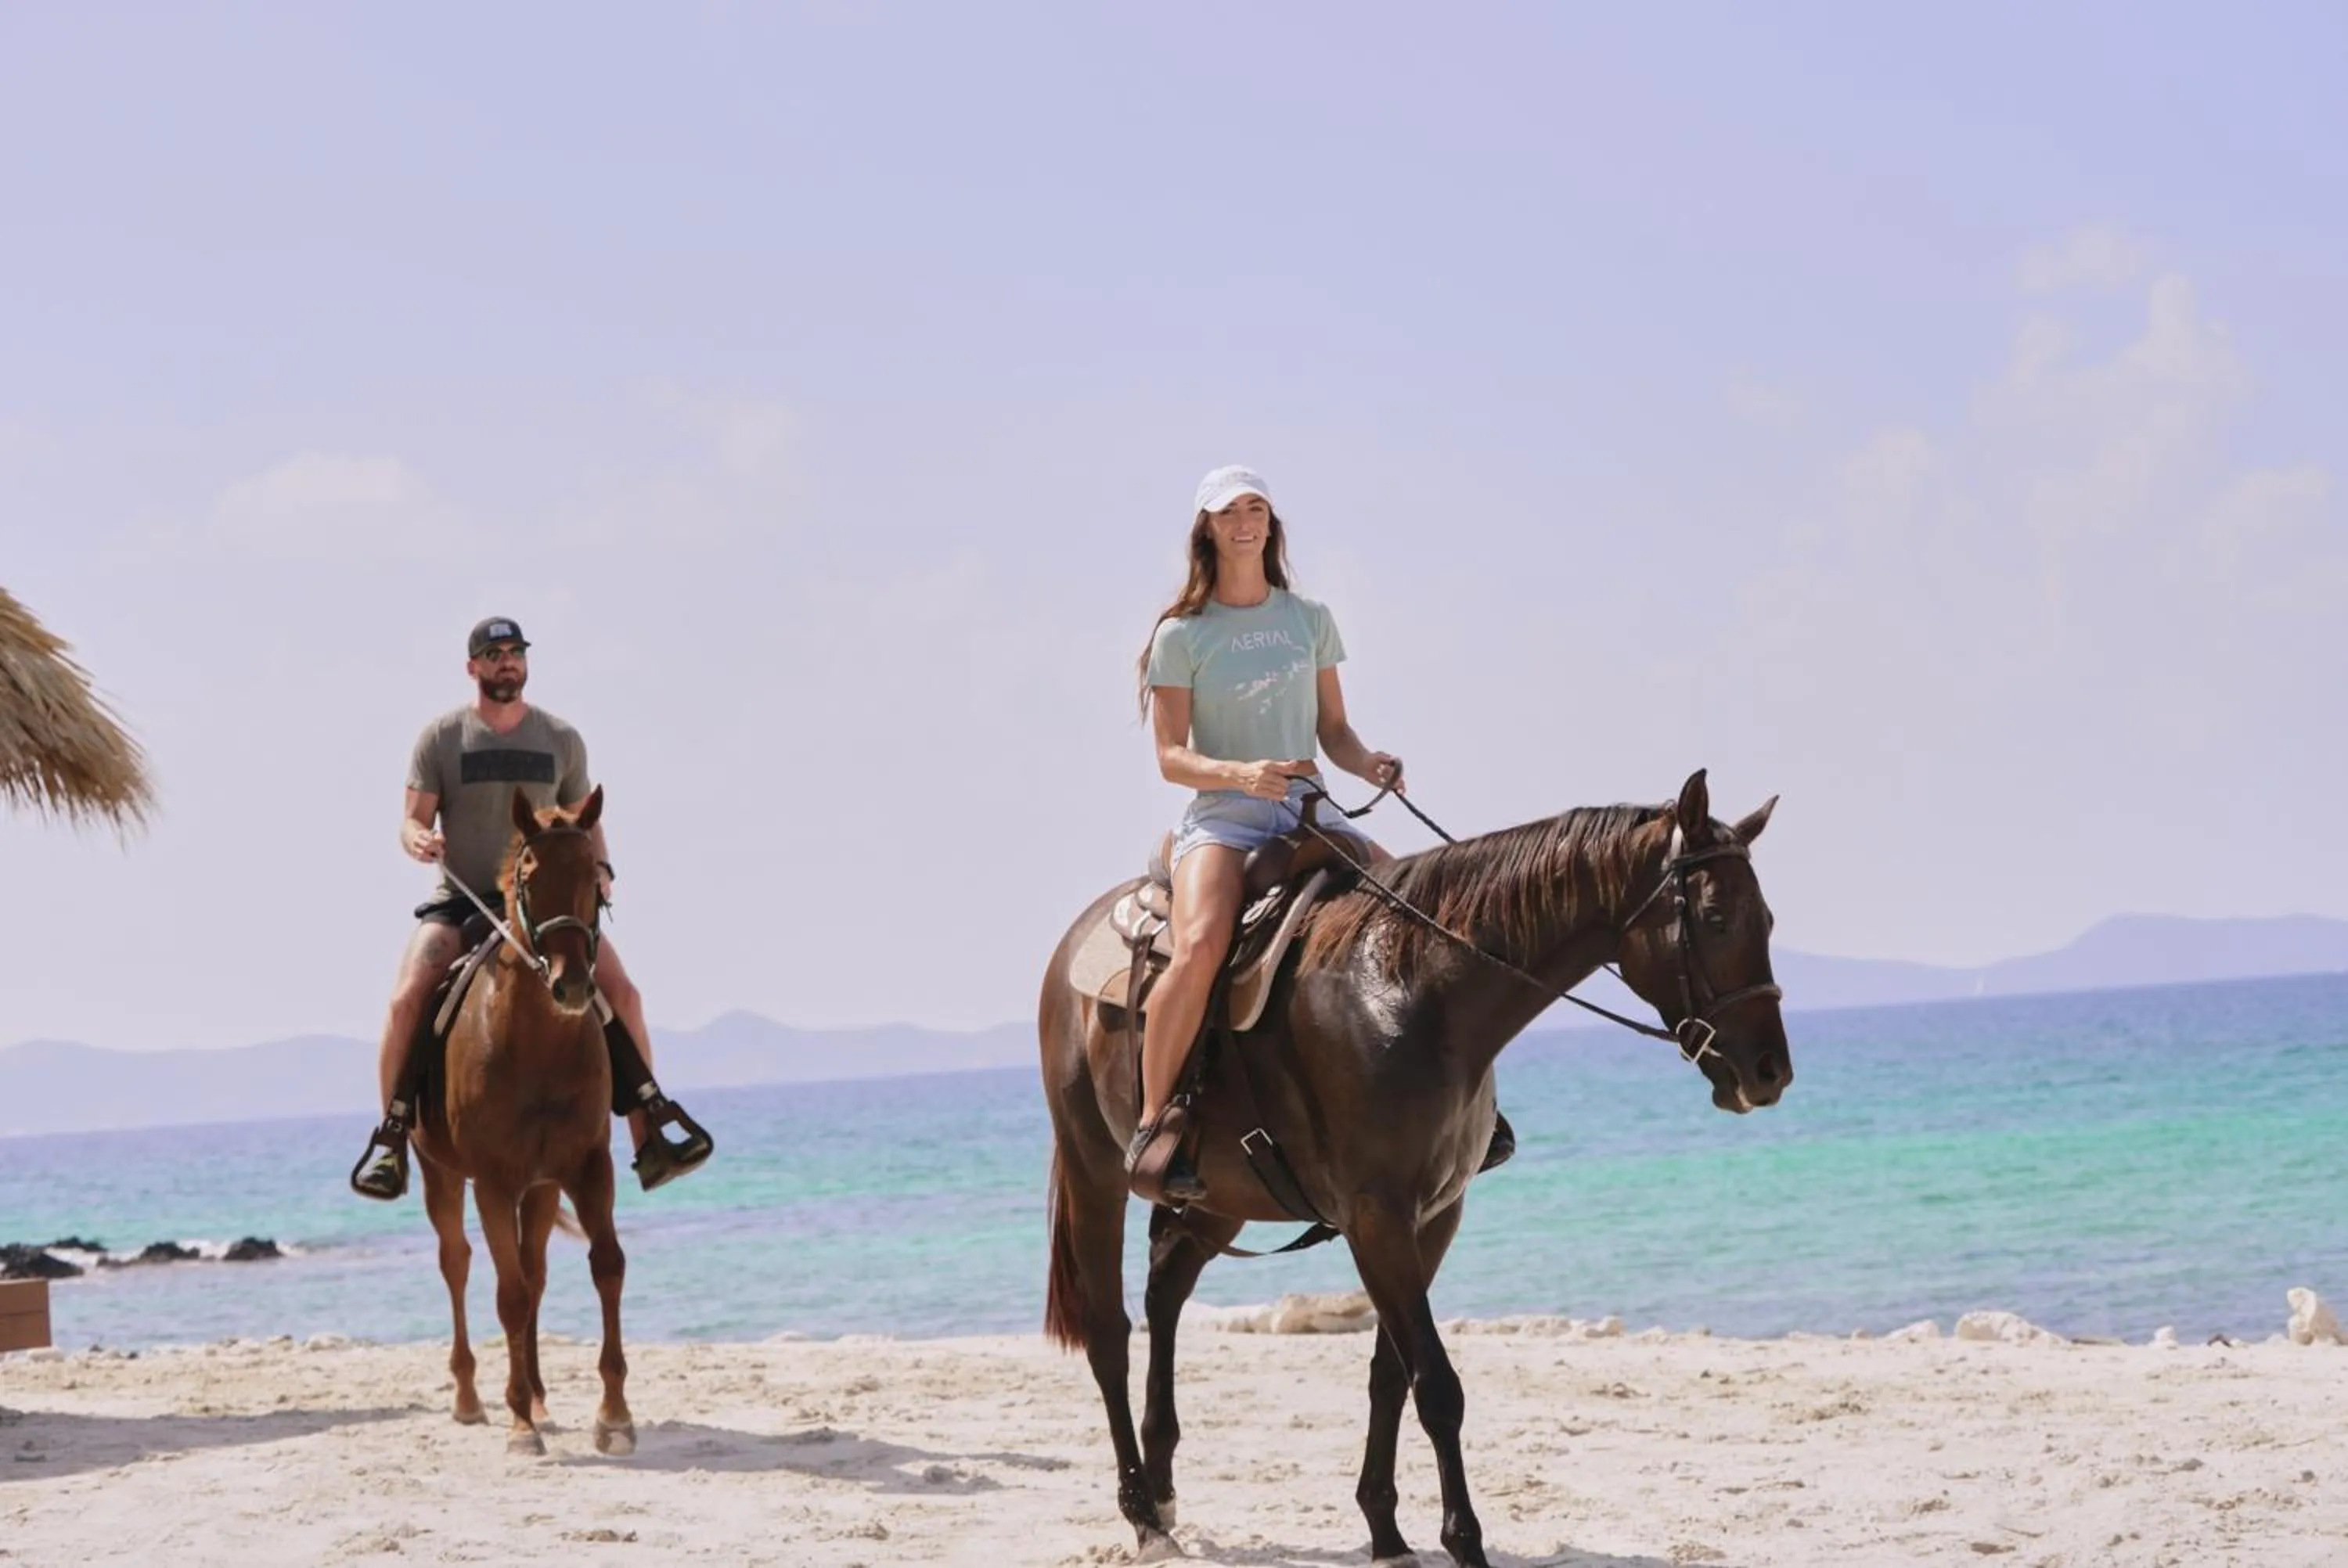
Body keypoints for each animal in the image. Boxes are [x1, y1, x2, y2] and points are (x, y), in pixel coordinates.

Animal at [410, 784, 635, 1458]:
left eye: (594, 874)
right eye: (530, 880)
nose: (572, 985)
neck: (536, 1045)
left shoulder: (587, 1166)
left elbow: (606, 1266)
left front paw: (614, 1415)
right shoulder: (493, 1180)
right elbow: (505, 1294)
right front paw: (519, 1427)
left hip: (541, 1190)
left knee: (534, 1274)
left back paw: (535, 1394)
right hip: (441, 1177)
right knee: (457, 1264)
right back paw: (471, 1398)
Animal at [1038, 768, 1789, 1566]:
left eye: (1768, 918)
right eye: (1715, 916)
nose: (1769, 1072)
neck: (1415, 999)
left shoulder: (1434, 1218)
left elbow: (1389, 1376)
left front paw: (1386, 1529)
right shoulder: (1377, 1222)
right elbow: (1435, 1386)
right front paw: (1463, 1540)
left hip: (1219, 1198)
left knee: (1166, 1291)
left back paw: (1163, 1484)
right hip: (1095, 1176)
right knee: (1110, 1332)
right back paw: (1142, 1513)